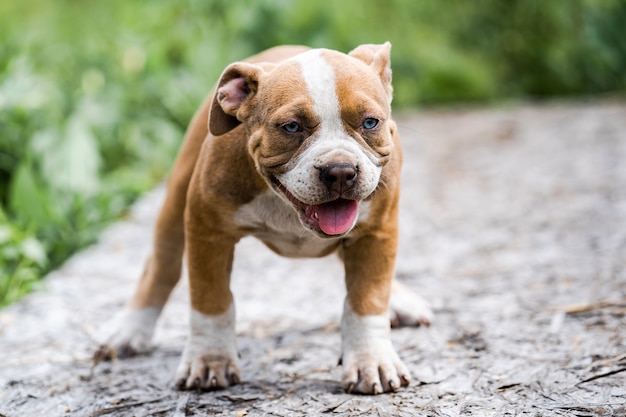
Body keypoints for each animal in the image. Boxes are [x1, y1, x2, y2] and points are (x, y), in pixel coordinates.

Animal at [101, 44, 434, 394]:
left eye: (370, 122)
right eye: (291, 127)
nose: (341, 170)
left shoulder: (376, 231)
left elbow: (367, 299)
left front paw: (371, 360)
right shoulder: (208, 232)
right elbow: (211, 302)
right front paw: (210, 360)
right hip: (176, 198)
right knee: (161, 266)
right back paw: (129, 329)